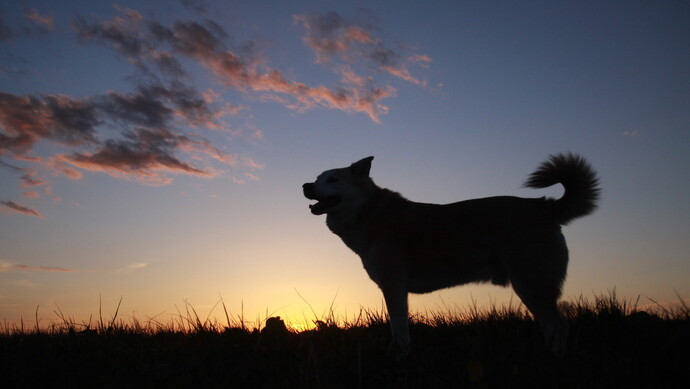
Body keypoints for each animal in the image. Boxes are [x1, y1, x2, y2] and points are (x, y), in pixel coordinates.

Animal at [300, 153, 596, 356]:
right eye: (317, 178)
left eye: (332, 179)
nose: (305, 185)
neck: (370, 213)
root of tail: (544, 206)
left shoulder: (394, 286)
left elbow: (399, 330)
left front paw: (400, 357)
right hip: (531, 287)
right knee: (552, 326)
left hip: (531, 284)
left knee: (558, 326)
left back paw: (554, 359)